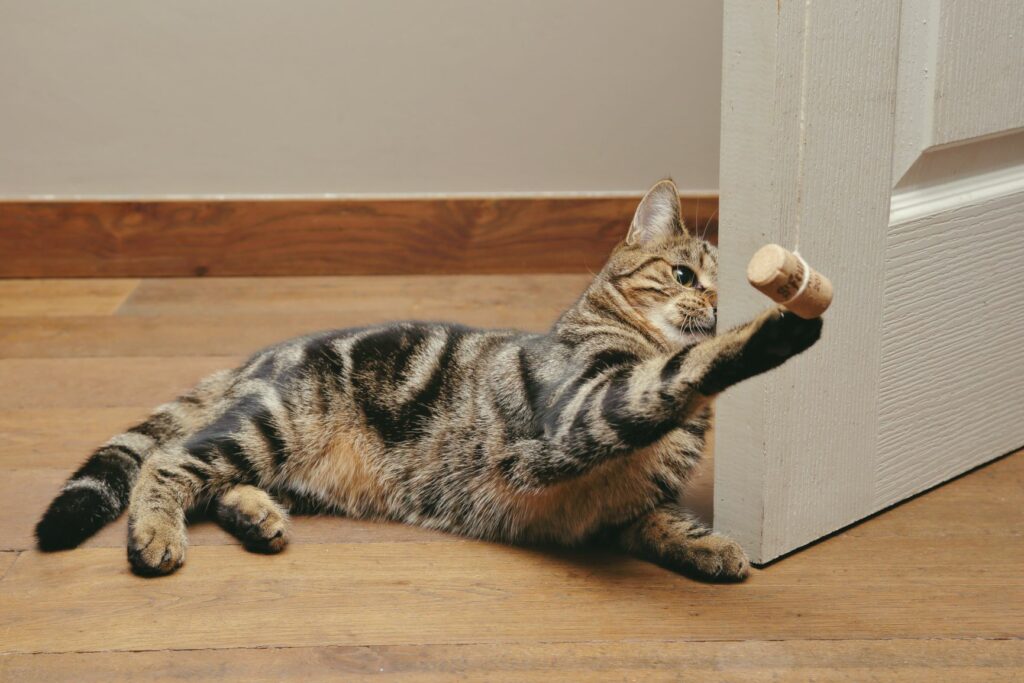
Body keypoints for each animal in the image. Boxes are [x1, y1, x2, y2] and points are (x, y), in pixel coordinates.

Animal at [34, 179, 823, 581]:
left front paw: (713, 546)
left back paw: (258, 517)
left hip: (278, 455)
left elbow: (663, 520)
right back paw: (155, 536)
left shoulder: (621, 505)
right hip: (267, 425)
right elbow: (677, 373)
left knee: (217, 483)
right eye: (684, 275)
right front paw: (779, 327)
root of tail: (260, 355)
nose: (716, 305)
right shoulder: (584, 410)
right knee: (168, 464)